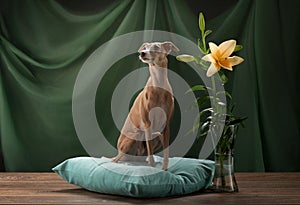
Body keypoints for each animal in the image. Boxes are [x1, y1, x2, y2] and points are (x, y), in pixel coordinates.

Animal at [112, 41, 178, 170]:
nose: (142, 53)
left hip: (157, 135)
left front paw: (164, 169)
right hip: (135, 136)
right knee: (116, 160)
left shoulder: (166, 126)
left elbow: (166, 153)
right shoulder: (147, 124)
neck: (158, 84)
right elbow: (150, 151)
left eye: (156, 47)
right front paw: (152, 167)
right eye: (145, 47)